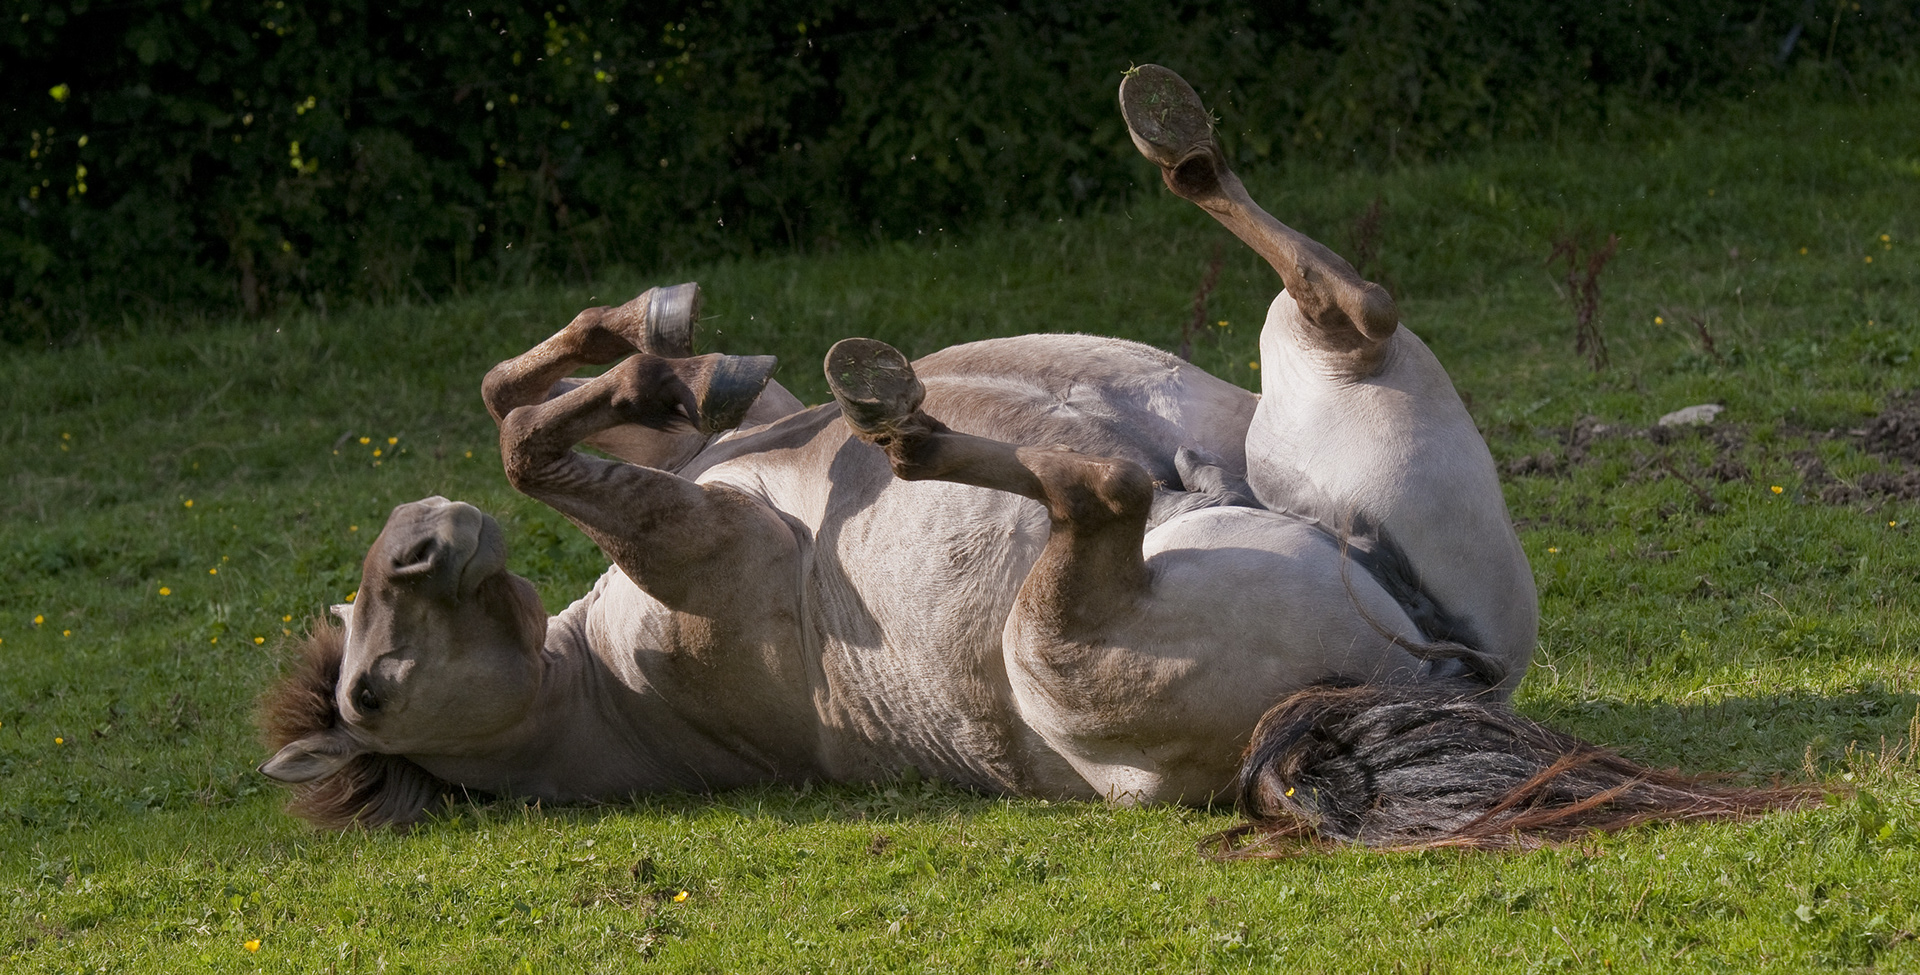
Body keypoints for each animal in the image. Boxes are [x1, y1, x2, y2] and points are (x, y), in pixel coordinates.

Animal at [259, 66, 1807, 849]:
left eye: (378, 629)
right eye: (372, 686)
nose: (425, 538)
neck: (611, 680)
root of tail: (1410, 682)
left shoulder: (690, 467)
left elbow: (526, 396)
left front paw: (663, 335)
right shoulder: (688, 538)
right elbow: (528, 444)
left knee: (1332, 313)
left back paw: (1156, 148)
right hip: (1059, 642)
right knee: (1110, 488)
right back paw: (902, 409)